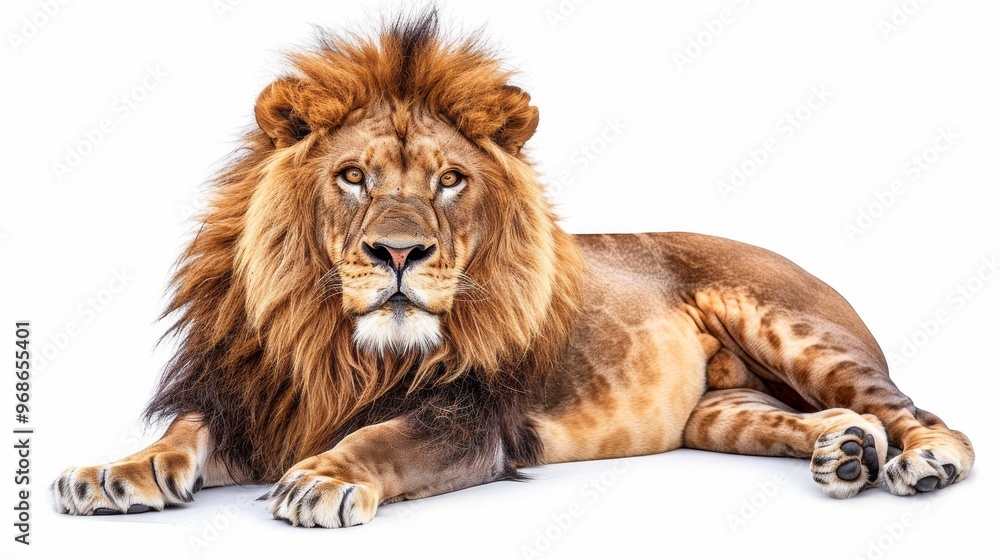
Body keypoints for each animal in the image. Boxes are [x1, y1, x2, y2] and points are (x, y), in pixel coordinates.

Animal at [52, 11, 974, 527]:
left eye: (449, 181)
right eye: (352, 176)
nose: (398, 253)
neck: (339, 348)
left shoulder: (472, 421)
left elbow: (383, 437)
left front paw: (323, 477)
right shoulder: (255, 395)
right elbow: (182, 433)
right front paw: (111, 473)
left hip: (798, 330)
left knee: (922, 415)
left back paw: (922, 462)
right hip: (719, 413)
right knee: (826, 420)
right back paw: (845, 453)